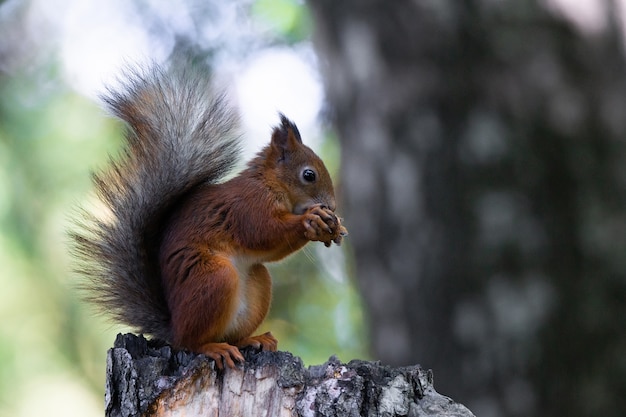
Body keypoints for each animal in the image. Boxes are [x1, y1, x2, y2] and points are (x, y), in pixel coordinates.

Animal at [74, 61, 346, 368]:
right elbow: (263, 233)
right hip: (213, 277)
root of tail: (174, 326)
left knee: (232, 332)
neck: (269, 183)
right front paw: (311, 220)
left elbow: (270, 249)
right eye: (309, 175)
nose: (332, 207)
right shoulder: (247, 206)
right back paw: (213, 348)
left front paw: (333, 227)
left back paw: (253, 339)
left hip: (257, 282)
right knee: (191, 343)